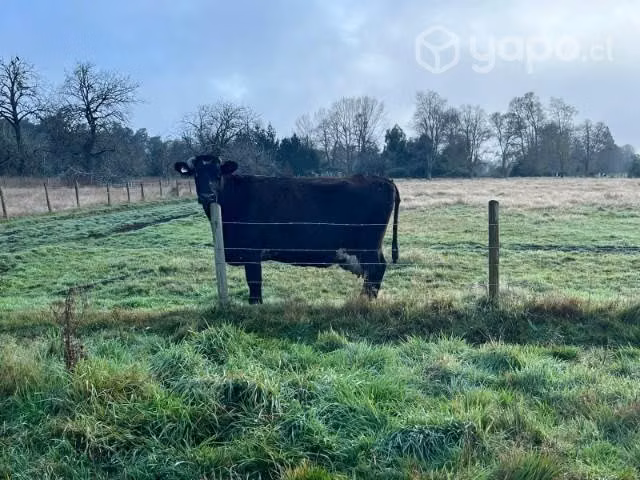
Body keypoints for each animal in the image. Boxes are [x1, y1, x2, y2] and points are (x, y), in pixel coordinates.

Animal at [174, 155, 400, 304]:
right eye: (196, 174)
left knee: (376, 269)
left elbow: (254, 285)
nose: (208, 196)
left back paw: (364, 302)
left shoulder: (251, 253)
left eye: (218, 173)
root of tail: (383, 179)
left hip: (368, 246)